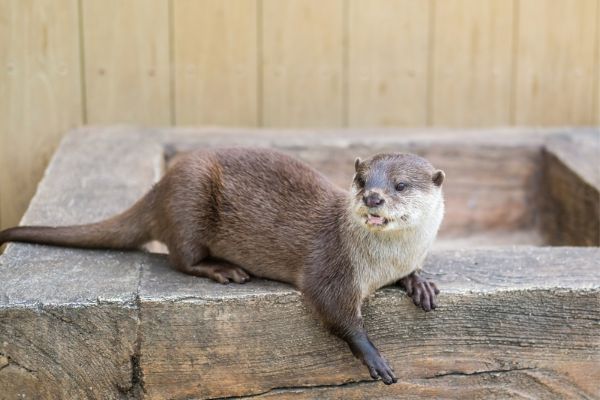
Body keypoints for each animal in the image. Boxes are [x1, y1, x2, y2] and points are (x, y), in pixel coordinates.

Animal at [0, 148, 440, 384]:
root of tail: (159, 188)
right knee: (180, 257)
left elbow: (410, 273)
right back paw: (223, 269)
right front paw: (374, 356)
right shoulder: (330, 265)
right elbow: (335, 312)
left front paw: (420, 283)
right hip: (190, 198)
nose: (373, 197)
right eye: (361, 179)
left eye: (400, 185)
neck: (383, 262)